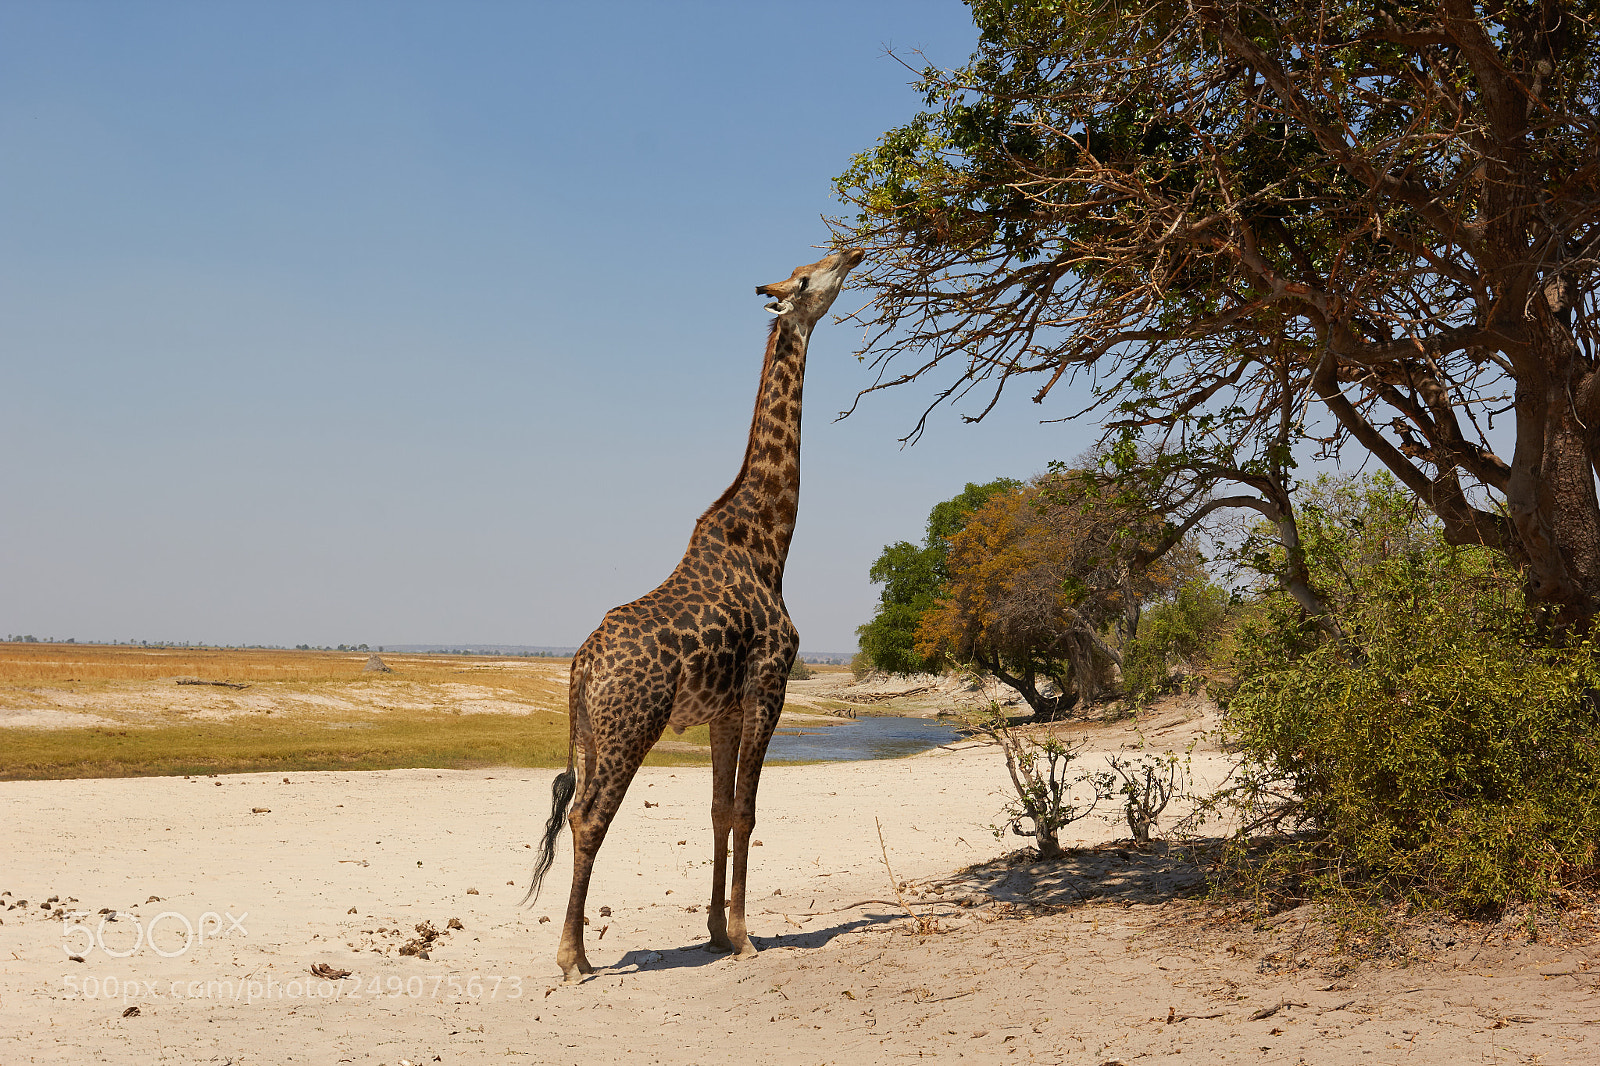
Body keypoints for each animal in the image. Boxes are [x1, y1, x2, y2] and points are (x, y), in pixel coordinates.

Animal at [523, 246, 866, 982]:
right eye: (808, 278)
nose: (855, 251)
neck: (769, 541)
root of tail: (580, 666)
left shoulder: (724, 709)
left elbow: (717, 809)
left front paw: (714, 930)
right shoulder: (769, 685)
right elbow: (748, 812)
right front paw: (744, 935)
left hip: (591, 732)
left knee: (577, 814)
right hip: (630, 727)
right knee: (590, 819)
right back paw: (574, 957)